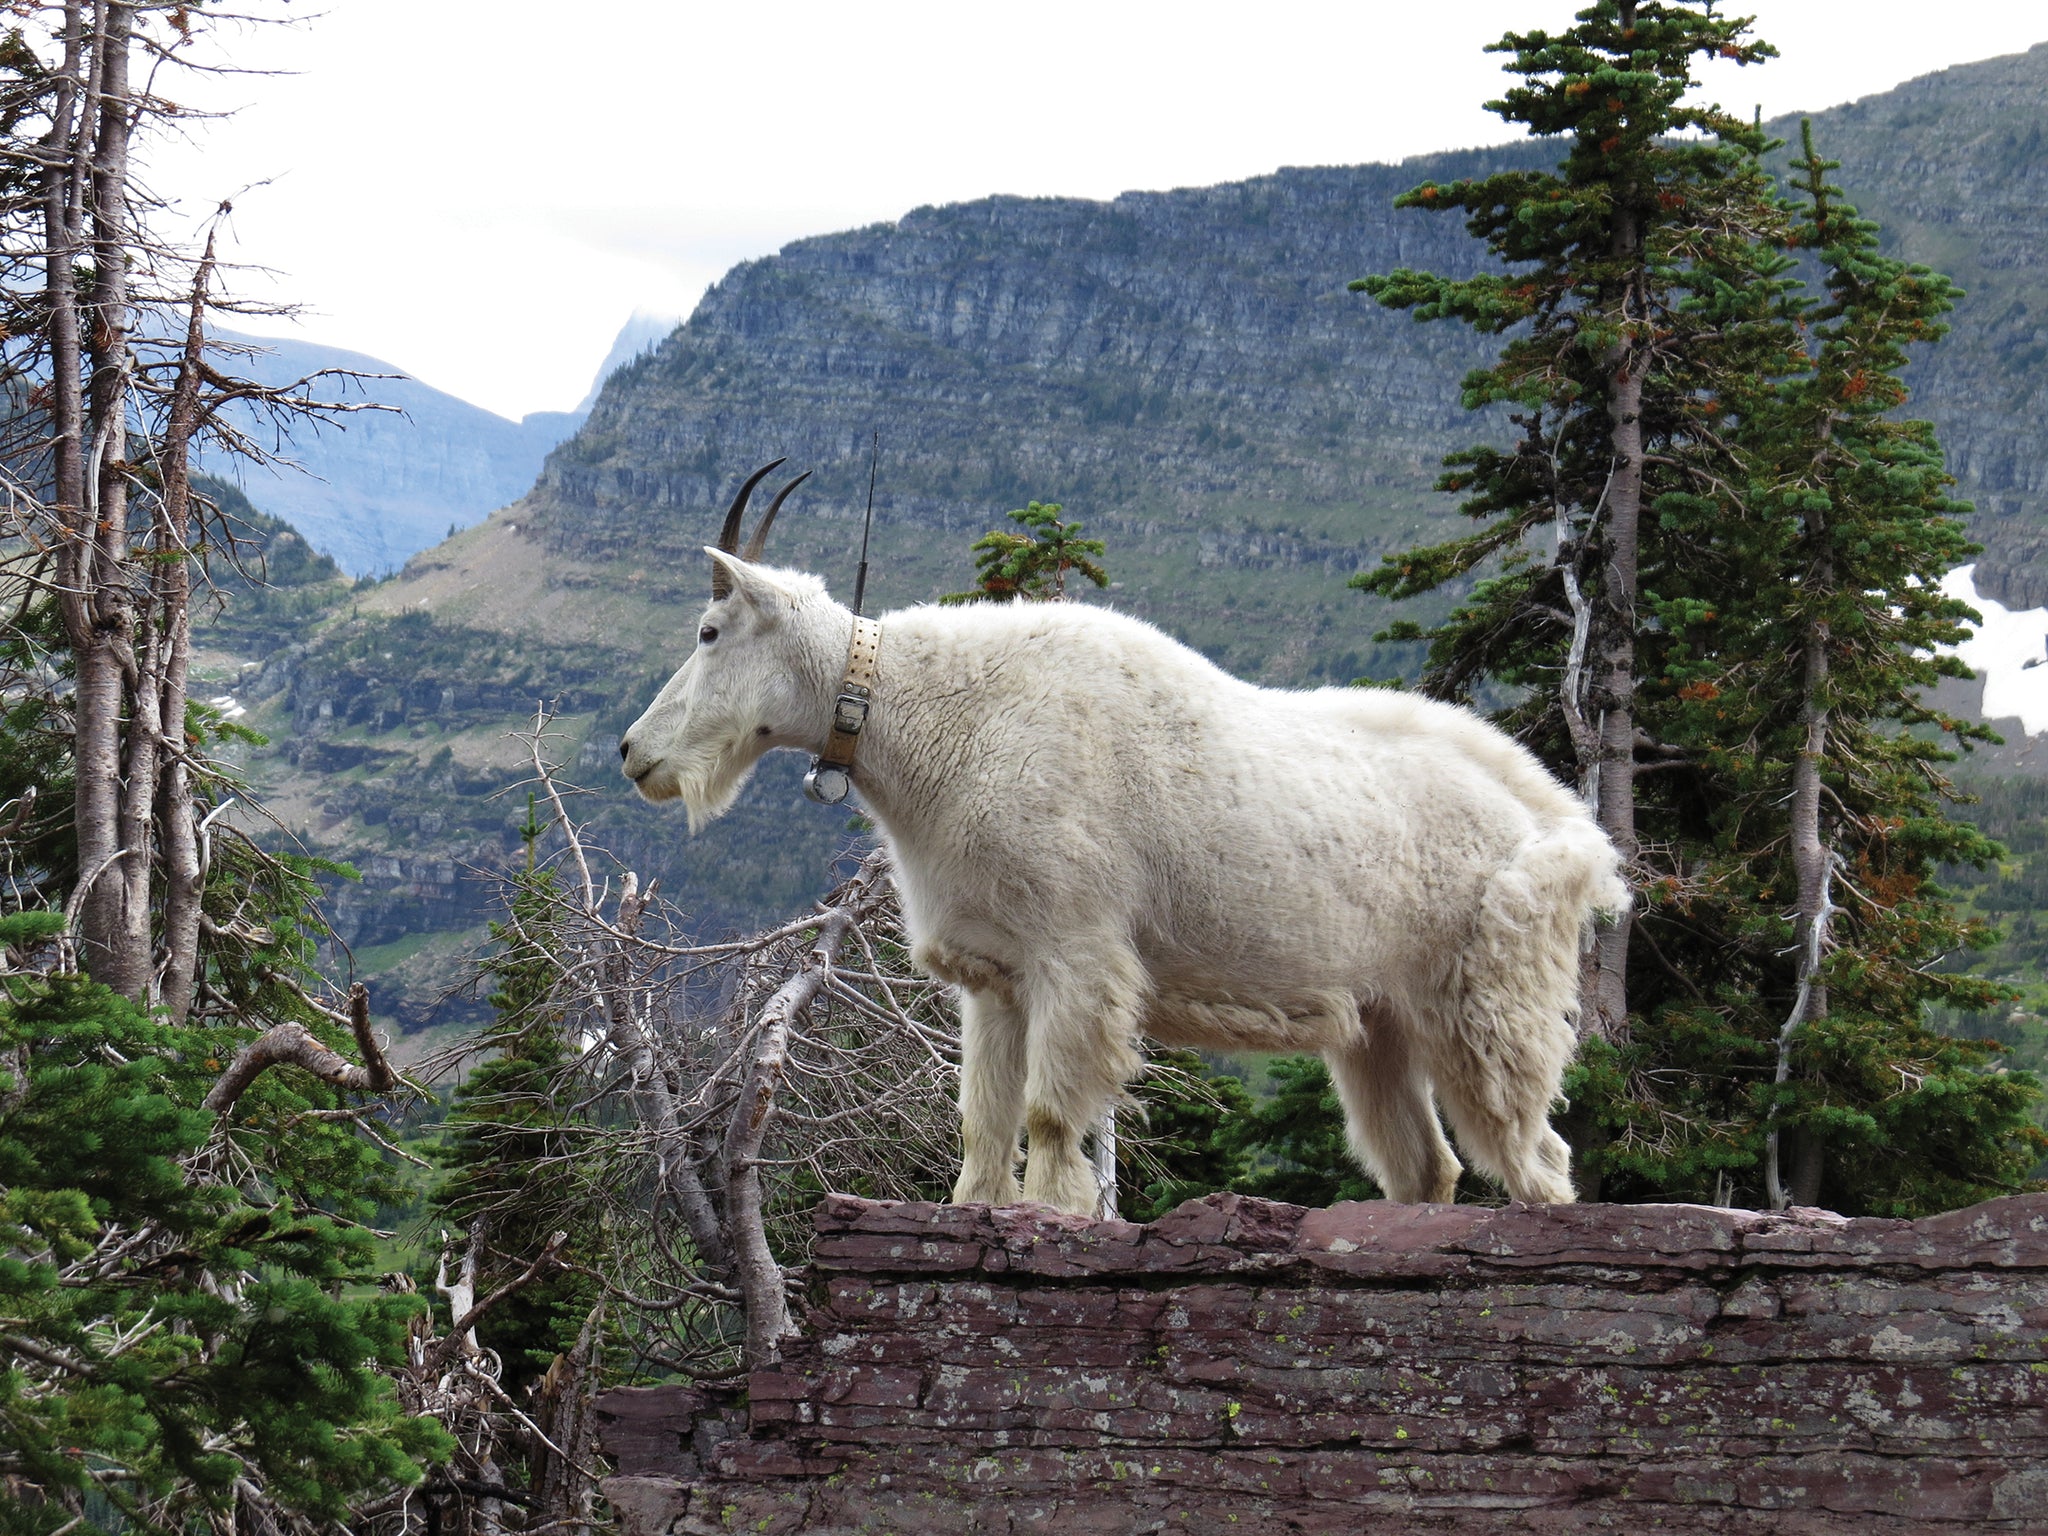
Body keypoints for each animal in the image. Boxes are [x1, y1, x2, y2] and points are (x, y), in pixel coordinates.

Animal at [614, 466, 1622, 1212]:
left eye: (710, 630)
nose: (634, 755)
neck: (940, 723)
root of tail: (1562, 827)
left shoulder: (1077, 952)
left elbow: (1053, 1122)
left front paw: (1055, 1217)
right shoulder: (996, 975)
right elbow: (982, 1129)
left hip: (1490, 995)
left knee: (1538, 1157)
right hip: (1381, 1022)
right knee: (1426, 1165)